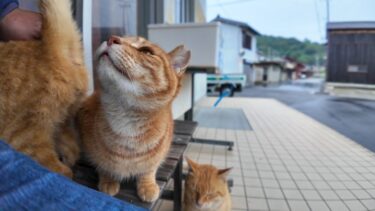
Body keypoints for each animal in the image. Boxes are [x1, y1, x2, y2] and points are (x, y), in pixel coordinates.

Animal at [78, 35, 191, 202]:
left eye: (147, 51)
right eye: (121, 37)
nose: (111, 38)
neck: (126, 118)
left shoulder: (157, 157)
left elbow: (149, 169)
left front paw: (148, 186)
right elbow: (103, 165)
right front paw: (108, 180)